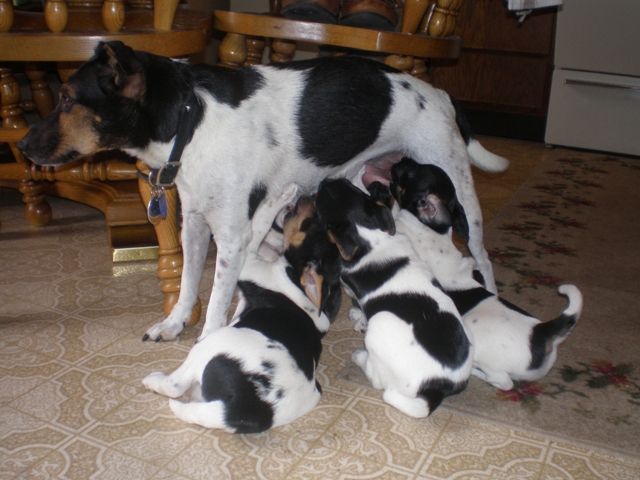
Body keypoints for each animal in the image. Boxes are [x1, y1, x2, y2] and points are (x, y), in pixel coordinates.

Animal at [17, 40, 510, 342]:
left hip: (459, 190)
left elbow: (216, 300)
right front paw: (175, 324)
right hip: (359, 181)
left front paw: (206, 340)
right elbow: (187, 284)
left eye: (66, 99)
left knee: (481, 255)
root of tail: (442, 93)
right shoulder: (194, 225)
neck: (190, 122)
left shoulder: (232, 237)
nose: (19, 147)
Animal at [142, 186, 342, 434]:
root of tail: (249, 409)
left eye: (311, 224)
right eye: (319, 222)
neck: (294, 278)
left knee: (175, 386)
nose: (311, 195)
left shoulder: (248, 262)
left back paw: (153, 380)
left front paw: (278, 197)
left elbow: (259, 225)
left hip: (211, 343)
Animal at [312, 177, 472, 416]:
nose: (325, 179)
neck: (372, 237)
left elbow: (361, 308)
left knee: (378, 379)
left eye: (319, 201)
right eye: (347, 184)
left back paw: (359, 357)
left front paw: (358, 318)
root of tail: (436, 388)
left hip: (381, 322)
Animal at [384, 159, 584, 392]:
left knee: (503, 382)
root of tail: (541, 331)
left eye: (411, 172)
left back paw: (476, 371)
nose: (402, 159)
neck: (431, 230)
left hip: (476, 338)